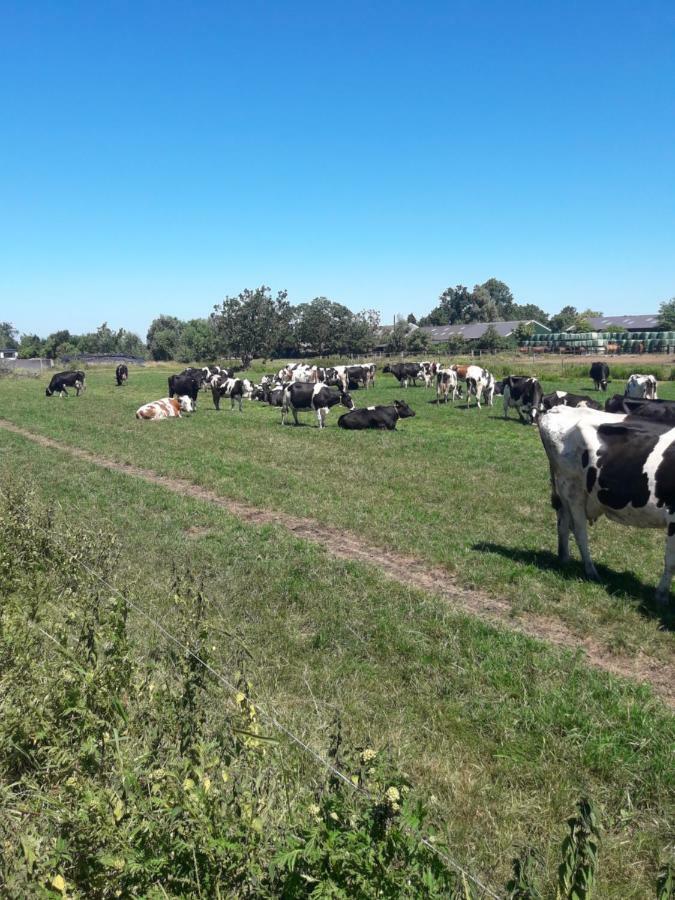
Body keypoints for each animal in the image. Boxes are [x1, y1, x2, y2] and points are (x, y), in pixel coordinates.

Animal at [540, 406, 675, 604]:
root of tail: (558, 409)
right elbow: (671, 561)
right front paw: (661, 596)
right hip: (572, 489)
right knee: (579, 531)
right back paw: (591, 571)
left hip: (564, 492)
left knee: (563, 524)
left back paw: (564, 560)